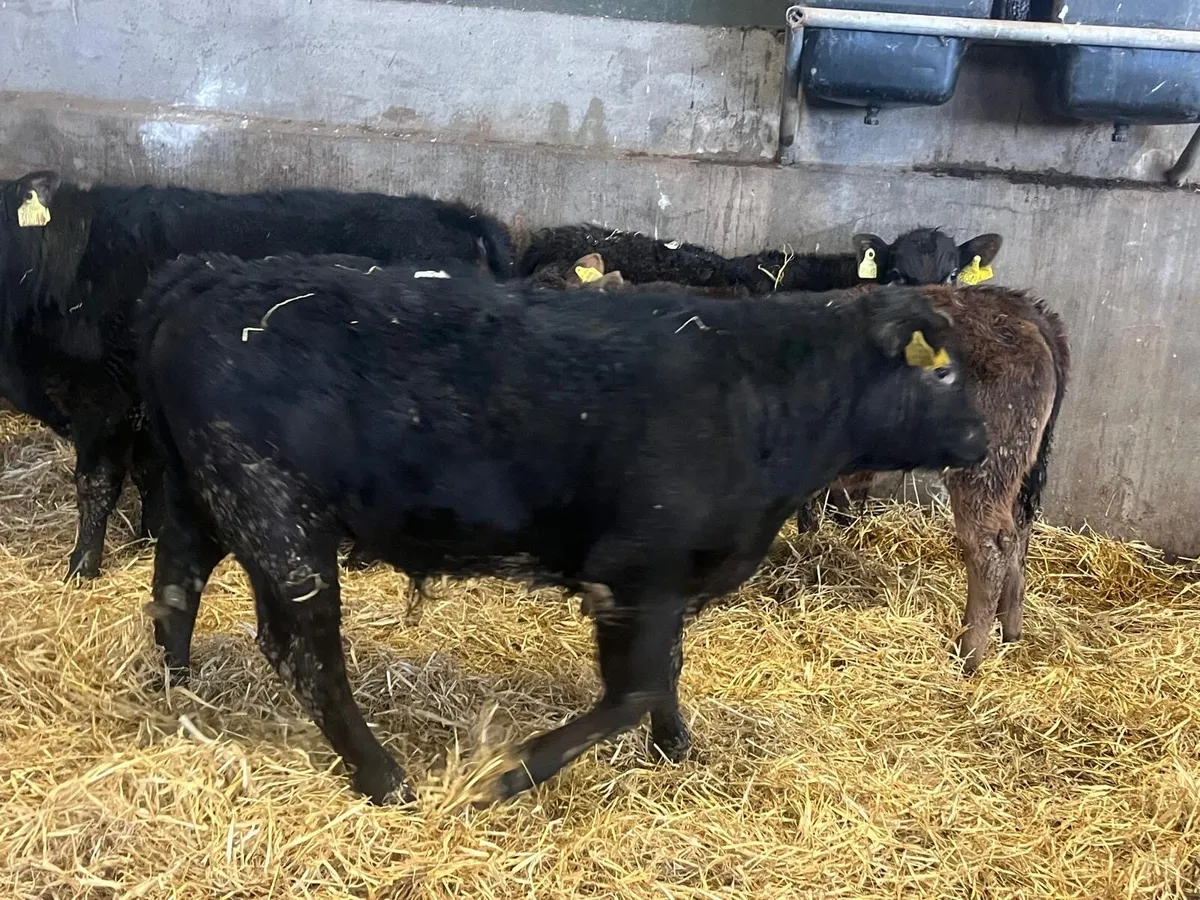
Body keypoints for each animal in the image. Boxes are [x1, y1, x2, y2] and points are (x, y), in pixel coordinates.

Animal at [0, 169, 514, 580]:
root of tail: (463, 219)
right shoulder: (142, 399)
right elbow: (150, 473)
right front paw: (149, 536)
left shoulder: (101, 398)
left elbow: (97, 483)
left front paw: (81, 567)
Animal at [134, 251, 987, 804]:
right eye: (944, 371)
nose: (982, 438)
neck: (768, 391)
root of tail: (209, 278)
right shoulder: (636, 571)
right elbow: (634, 690)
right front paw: (509, 772)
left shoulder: (670, 582)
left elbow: (664, 675)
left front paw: (677, 750)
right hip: (275, 510)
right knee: (308, 654)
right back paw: (384, 778)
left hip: (206, 498)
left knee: (177, 588)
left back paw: (175, 692)